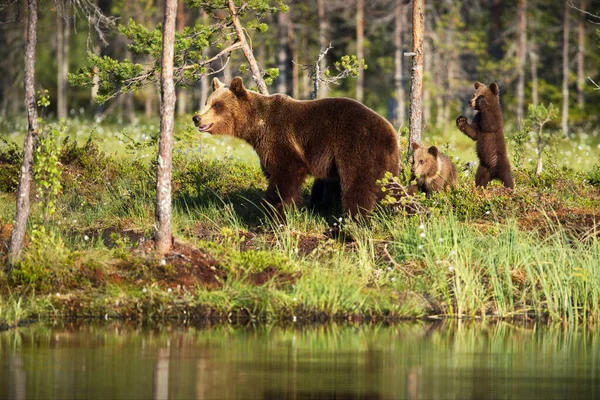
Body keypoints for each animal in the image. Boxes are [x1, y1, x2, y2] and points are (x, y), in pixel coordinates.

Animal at [193, 76, 398, 217]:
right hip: (384, 161)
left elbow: (285, 172)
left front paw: (274, 211)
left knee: (357, 185)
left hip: (357, 147)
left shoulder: (279, 137)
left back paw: (351, 223)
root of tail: (390, 130)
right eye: (207, 102)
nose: (197, 118)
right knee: (389, 187)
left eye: (216, 105)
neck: (255, 126)